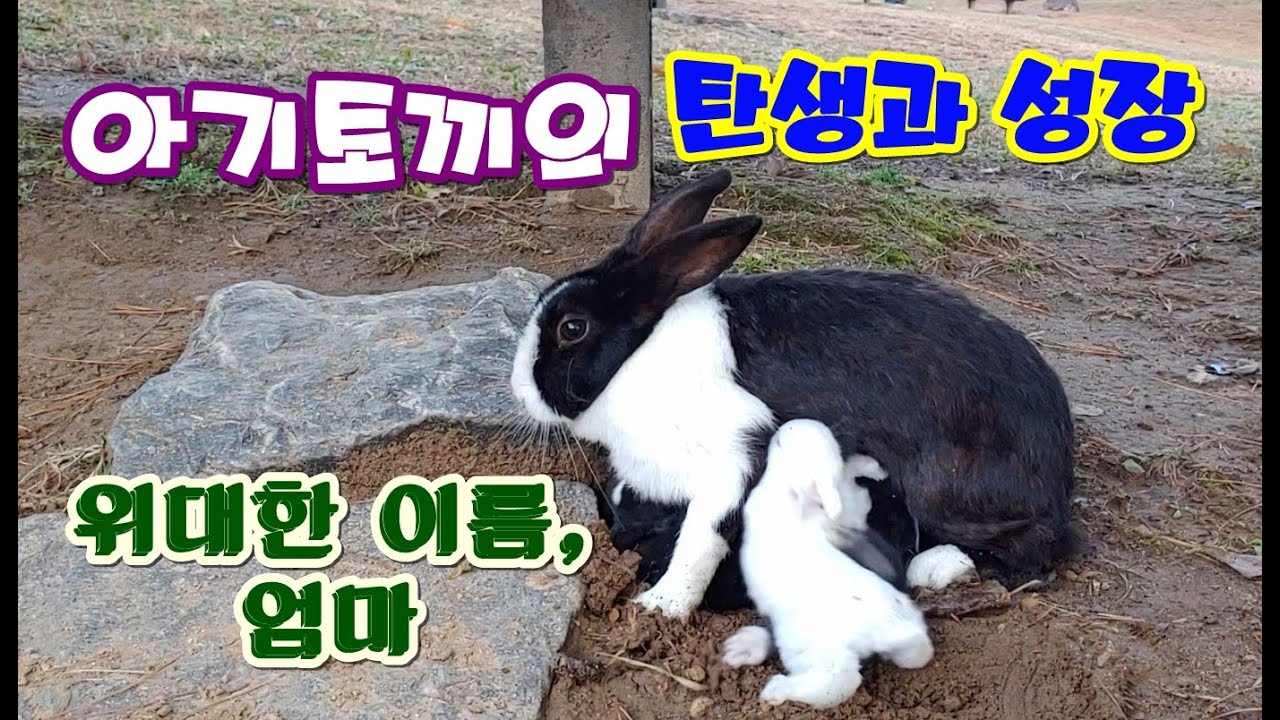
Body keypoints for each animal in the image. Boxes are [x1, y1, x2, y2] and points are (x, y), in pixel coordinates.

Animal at [509, 168, 1080, 619]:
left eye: (573, 328)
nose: (517, 389)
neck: (639, 355)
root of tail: (1059, 468)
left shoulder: (733, 457)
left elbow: (702, 537)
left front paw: (662, 606)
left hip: (947, 492)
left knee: (1033, 550)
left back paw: (937, 567)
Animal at [721, 419, 934, 710]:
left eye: (781, 444)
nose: (780, 429)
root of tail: (888, 630)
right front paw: (874, 469)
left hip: (814, 652)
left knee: (839, 680)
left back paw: (776, 689)